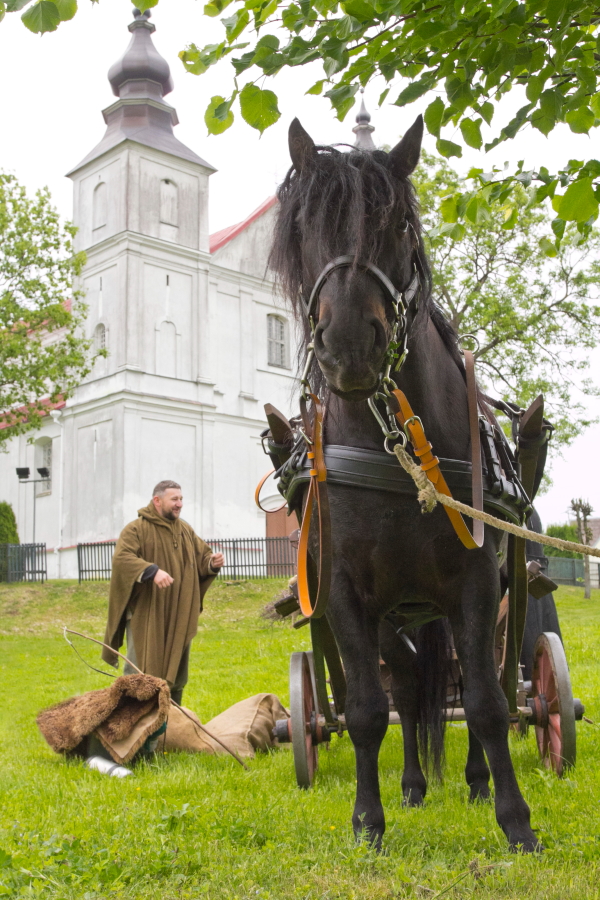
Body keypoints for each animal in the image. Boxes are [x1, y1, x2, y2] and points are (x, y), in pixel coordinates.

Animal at [270, 116, 540, 856]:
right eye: (303, 229)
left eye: (395, 226)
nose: (348, 347)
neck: (391, 449)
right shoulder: (343, 591)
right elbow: (368, 708)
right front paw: (369, 820)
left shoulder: (474, 582)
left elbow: (486, 702)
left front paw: (514, 820)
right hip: (396, 614)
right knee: (408, 683)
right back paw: (415, 784)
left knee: (460, 685)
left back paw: (473, 780)